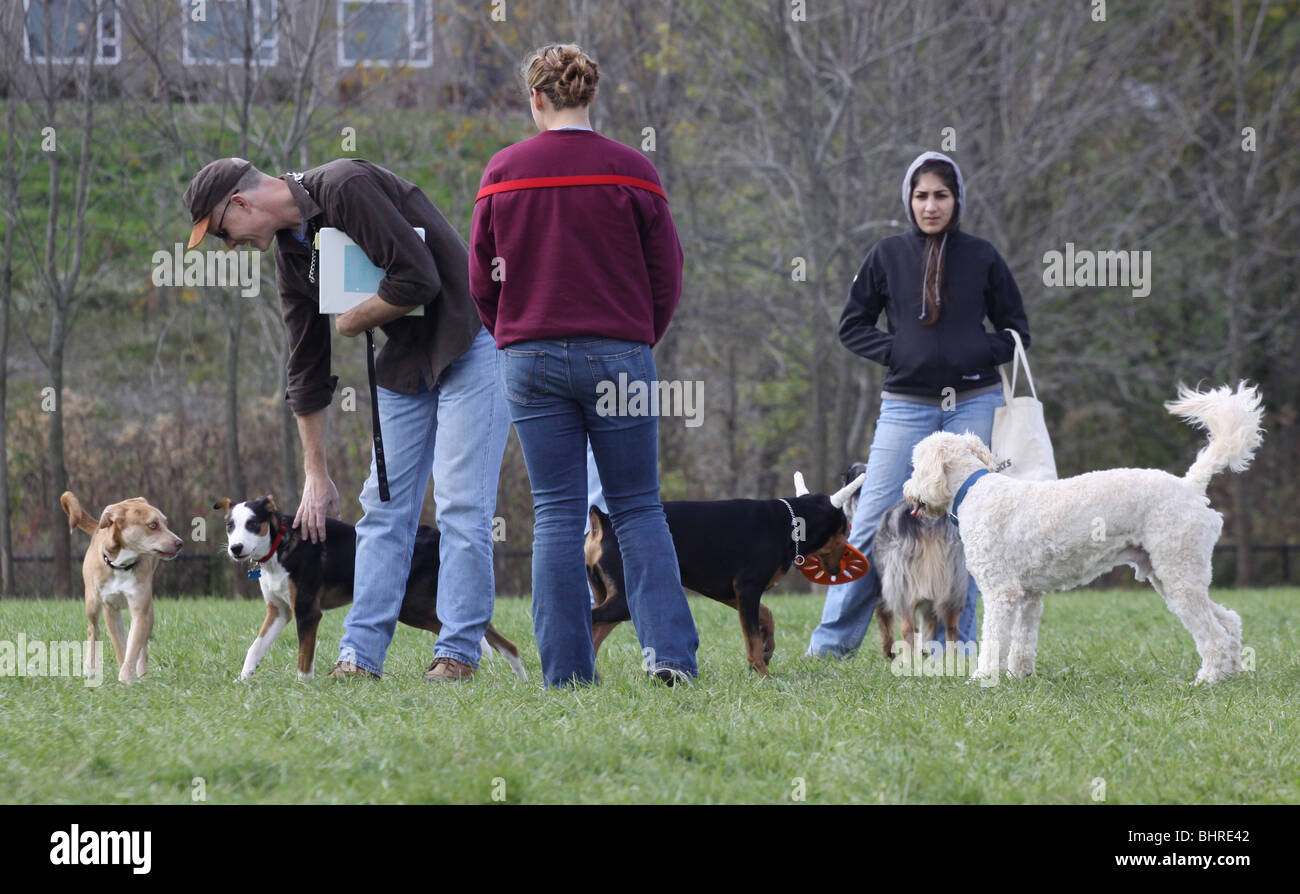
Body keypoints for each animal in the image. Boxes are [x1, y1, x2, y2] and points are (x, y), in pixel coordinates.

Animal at [60, 491, 184, 680]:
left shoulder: (141, 608)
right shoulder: (110, 609)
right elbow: (121, 646)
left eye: (165, 523)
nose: (179, 542)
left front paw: (129, 677)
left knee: (143, 644)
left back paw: (142, 673)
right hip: (91, 602)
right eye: (153, 525)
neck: (122, 566)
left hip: (149, 611)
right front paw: (125, 678)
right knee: (93, 629)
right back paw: (90, 667)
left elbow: (134, 646)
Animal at [210, 498, 525, 680]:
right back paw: (519, 676)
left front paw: (304, 687)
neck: (279, 548)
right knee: (496, 639)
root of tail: (434, 535)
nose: (236, 548)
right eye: (230, 526)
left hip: (415, 606)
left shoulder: (308, 612)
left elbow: (304, 657)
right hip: (418, 608)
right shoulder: (279, 612)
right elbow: (255, 647)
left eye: (253, 524)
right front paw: (244, 679)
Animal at [587, 475, 863, 670]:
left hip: (607, 596)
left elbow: (767, 615)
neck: (790, 522)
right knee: (589, 620)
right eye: (844, 529)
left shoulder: (731, 592)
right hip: (624, 600)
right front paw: (763, 676)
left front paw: (769, 647)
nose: (840, 567)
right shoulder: (747, 588)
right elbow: (752, 641)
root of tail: (604, 522)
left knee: (594, 635)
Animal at [842, 465, 967, 660]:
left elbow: (885, 622)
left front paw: (889, 652)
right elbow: (928, 626)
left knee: (908, 628)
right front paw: (926, 651)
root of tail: (928, 523)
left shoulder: (884, 593)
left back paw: (909, 660)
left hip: (901, 588)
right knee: (951, 628)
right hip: (954, 586)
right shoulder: (931, 595)